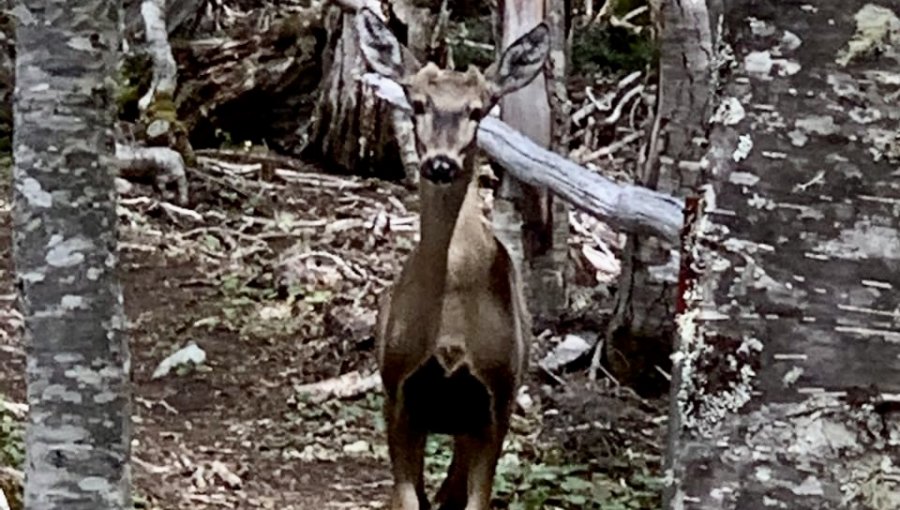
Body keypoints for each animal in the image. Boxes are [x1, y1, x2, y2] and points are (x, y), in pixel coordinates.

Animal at [356, 7, 548, 510]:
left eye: (478, 109)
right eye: (418, 103)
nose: (440, 163)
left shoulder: (495, 401)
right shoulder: (399, 394)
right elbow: (408, 499)